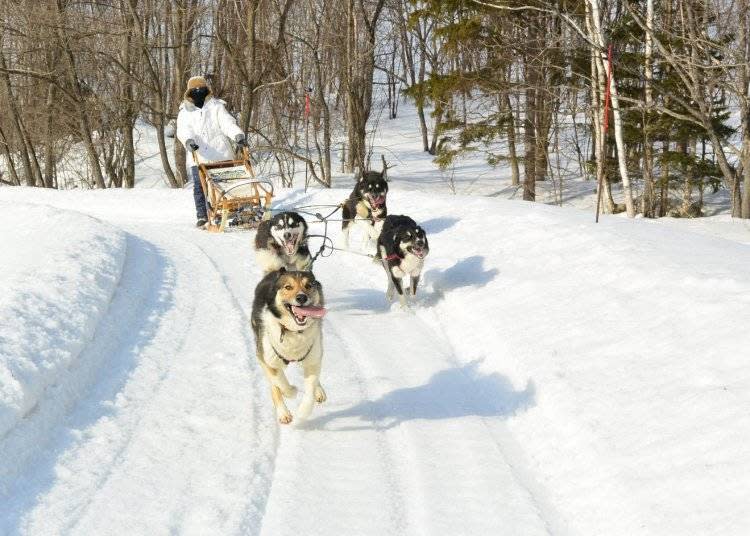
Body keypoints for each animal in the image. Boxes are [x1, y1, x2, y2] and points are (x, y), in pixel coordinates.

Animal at [251, 268, 328, 422]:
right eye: (288, 287)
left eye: (308, 285)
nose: (301, 298)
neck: (293, 331)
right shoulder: (268, 360)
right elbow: (280, 382)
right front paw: (292, 391)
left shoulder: (313, 359)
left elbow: (310, 387)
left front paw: (303, 412)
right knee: (274, 386)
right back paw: (283, 413)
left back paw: (319, 391)